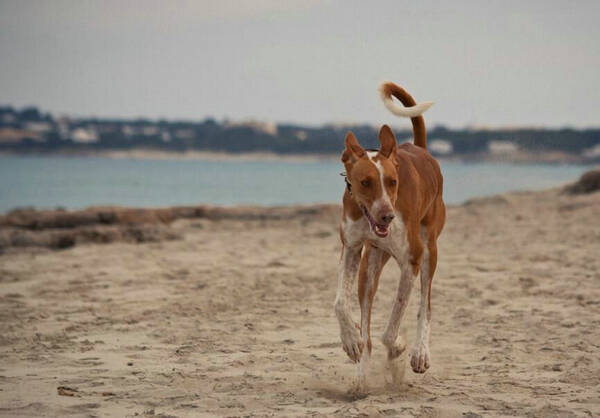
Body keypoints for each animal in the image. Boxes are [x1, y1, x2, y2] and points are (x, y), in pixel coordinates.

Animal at [332, 81, 446, 388]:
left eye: (393, 182)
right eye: (365, 182)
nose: (387, 217)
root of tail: (420, 148)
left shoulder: (411, 262)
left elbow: (393, 325)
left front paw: (398, 348)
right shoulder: (352, 248)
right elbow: (341, 304)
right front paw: (351, 341)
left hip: (429, 251)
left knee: (425, 306)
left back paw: (419, 353)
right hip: (370, 265)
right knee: (368, 326)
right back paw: (361, 375)